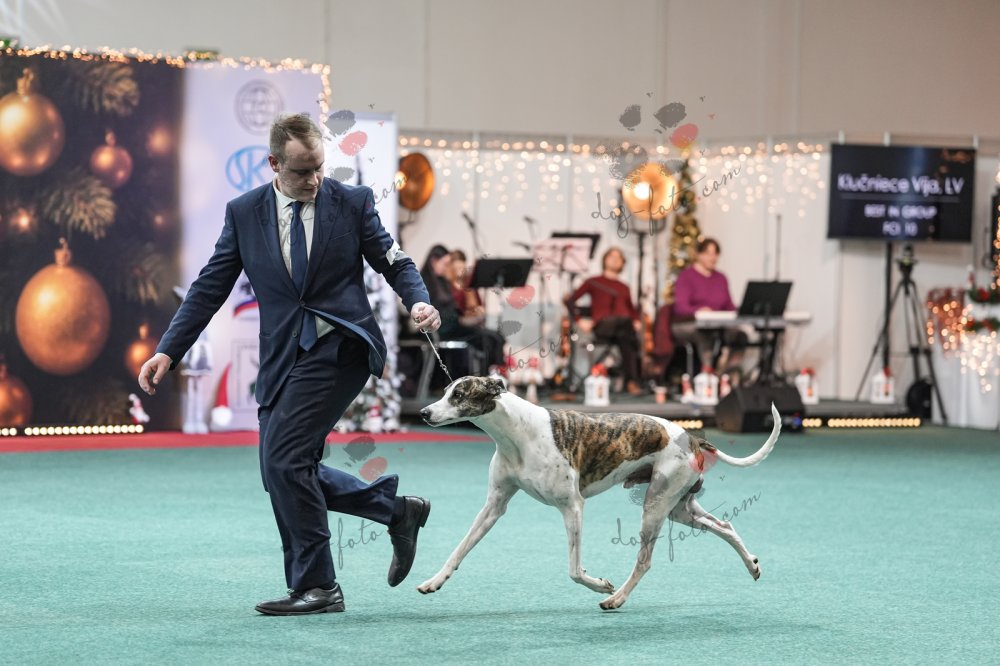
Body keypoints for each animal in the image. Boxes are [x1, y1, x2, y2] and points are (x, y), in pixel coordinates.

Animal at [418, 376, 780, 610]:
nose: (423, 413)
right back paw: (752, 565)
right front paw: (434, 581)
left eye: (459, 394)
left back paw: (615, 598)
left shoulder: (572, 507)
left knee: (645, 561)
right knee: (725, 526)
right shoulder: (494, 506)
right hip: (679, 506)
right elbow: (459, 550)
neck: (518, 433)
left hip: (656, 506)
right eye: (446, 391)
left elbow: (574, 570)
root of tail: (691, 437)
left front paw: (600, 584)